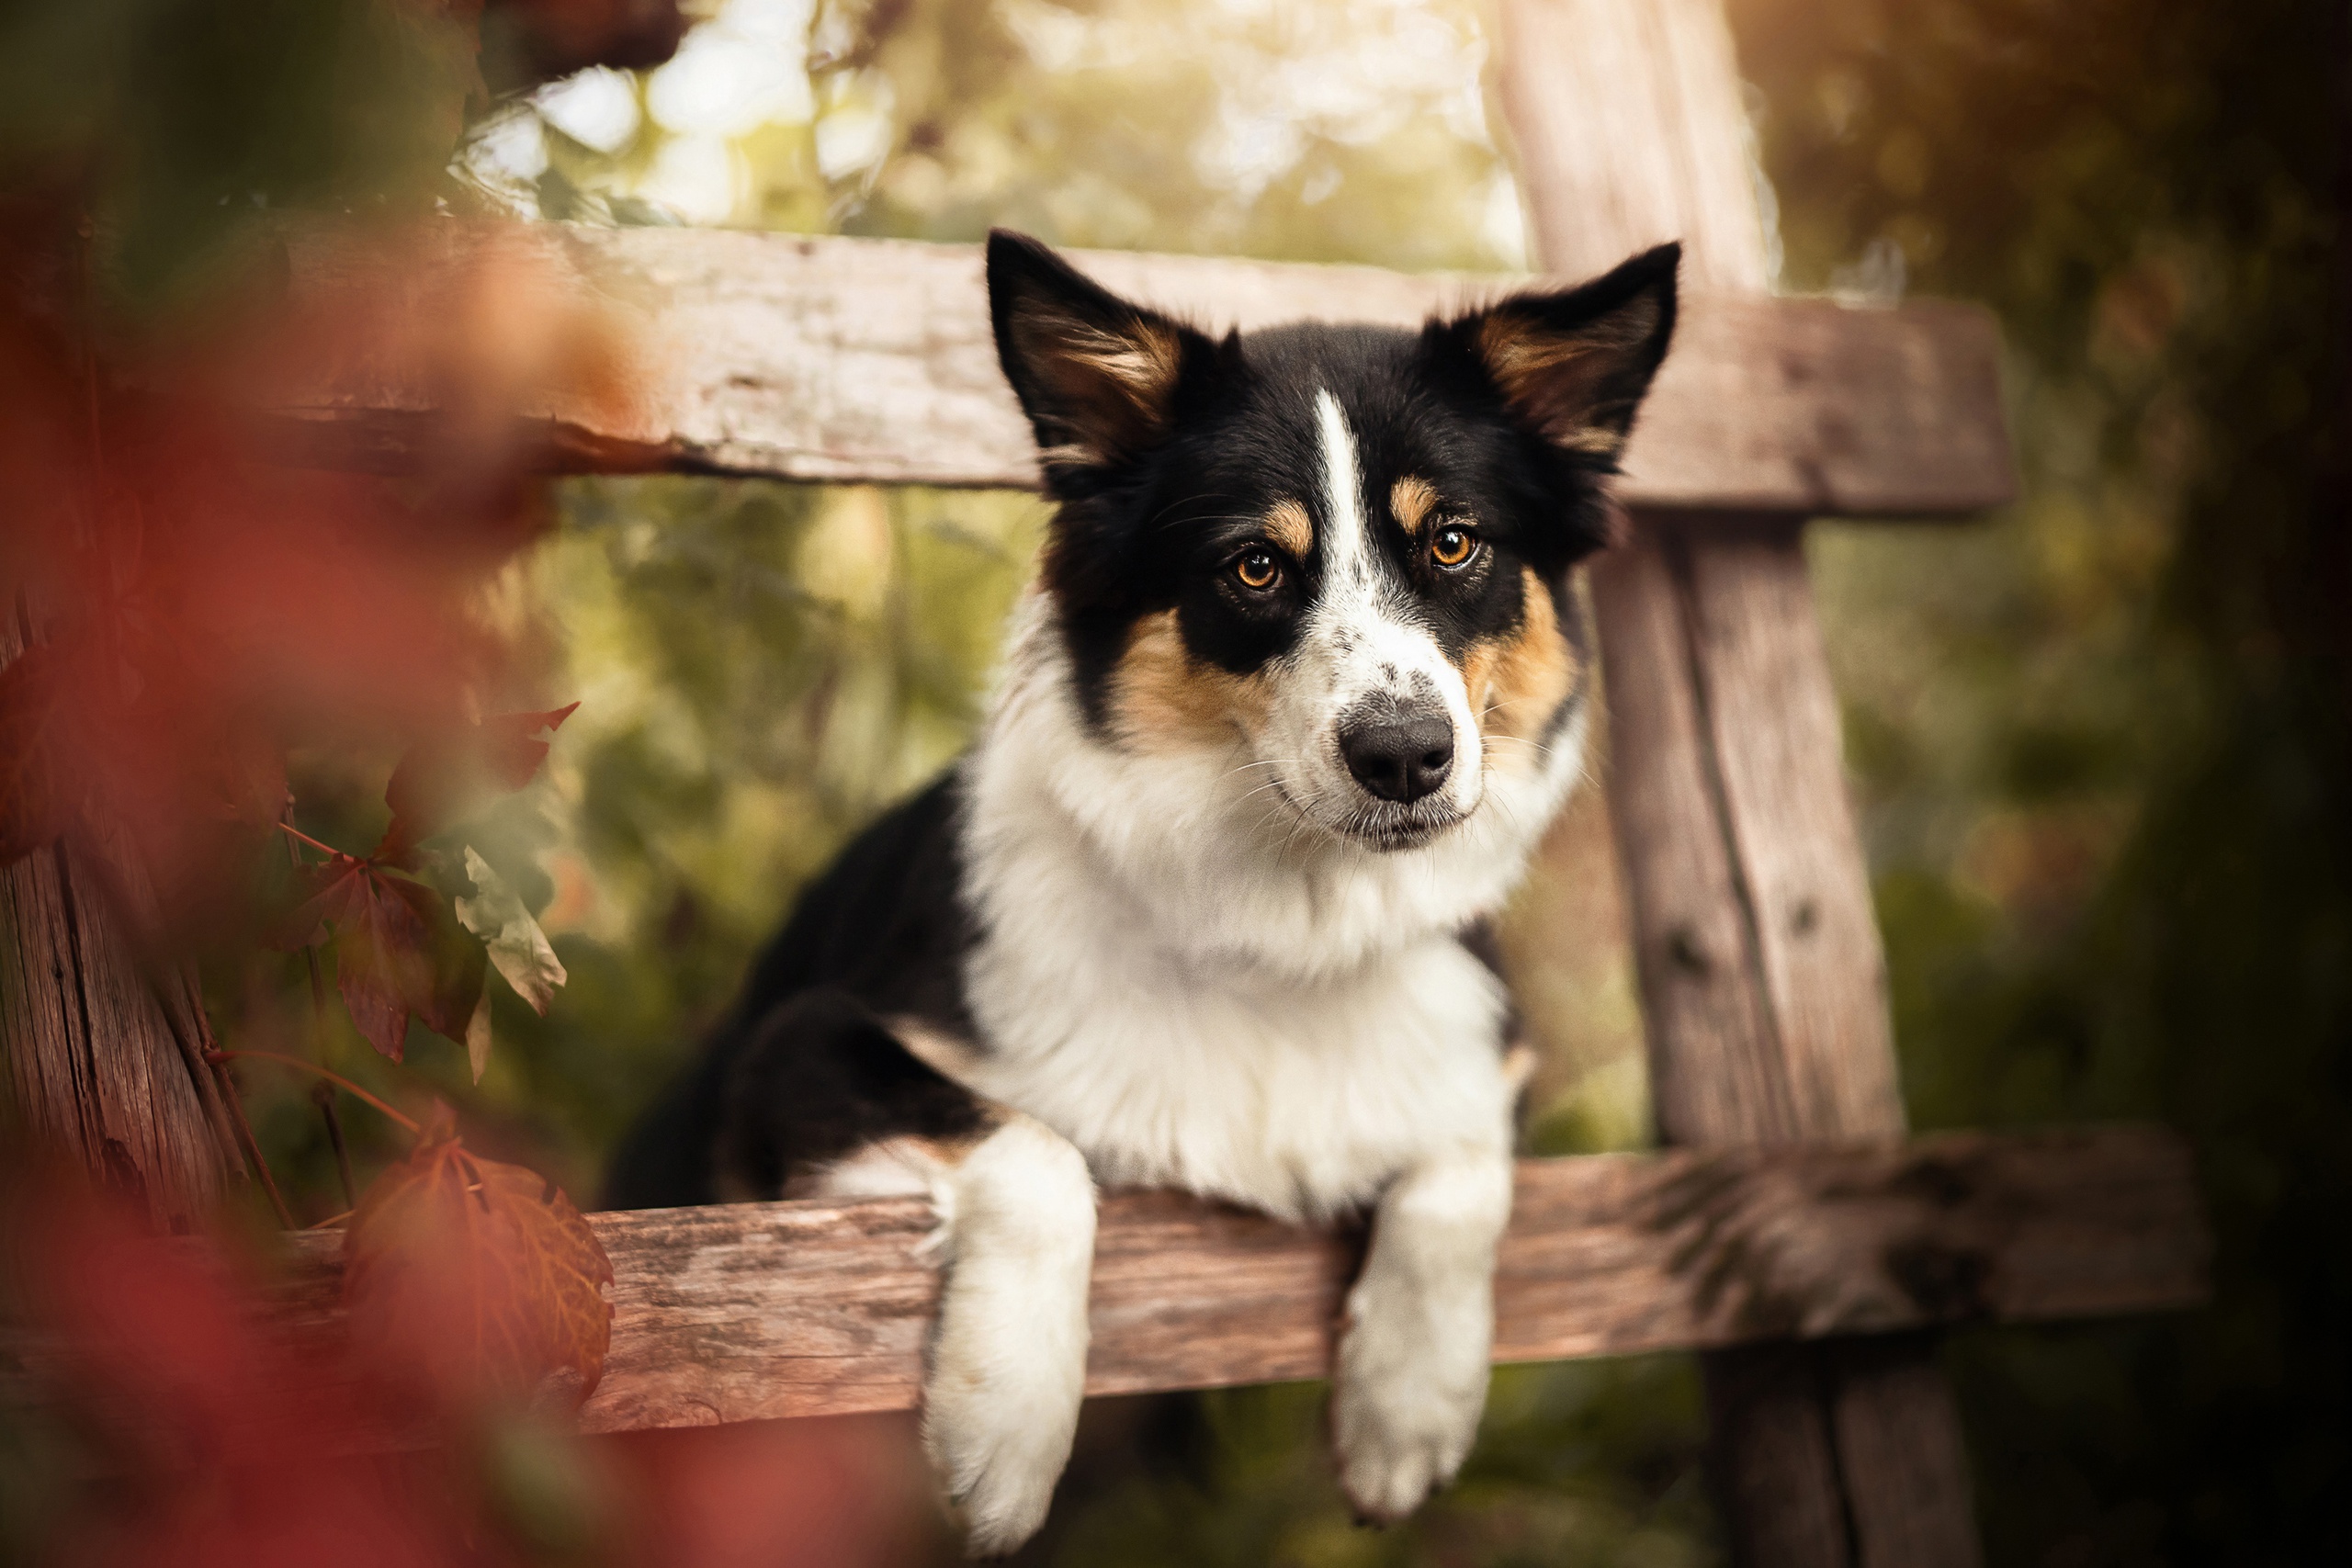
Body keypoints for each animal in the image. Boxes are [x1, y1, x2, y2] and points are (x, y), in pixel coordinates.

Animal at [602, 230, 1674, 1561]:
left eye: (1454, 543)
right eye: (1255, 565)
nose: (1407, 756)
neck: (1284, 928)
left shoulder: (1488, 1051)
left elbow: (1459, 1169)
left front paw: (1406, 1411)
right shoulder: (792, 1052)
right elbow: (1037, 1148)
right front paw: (1004, 1430)